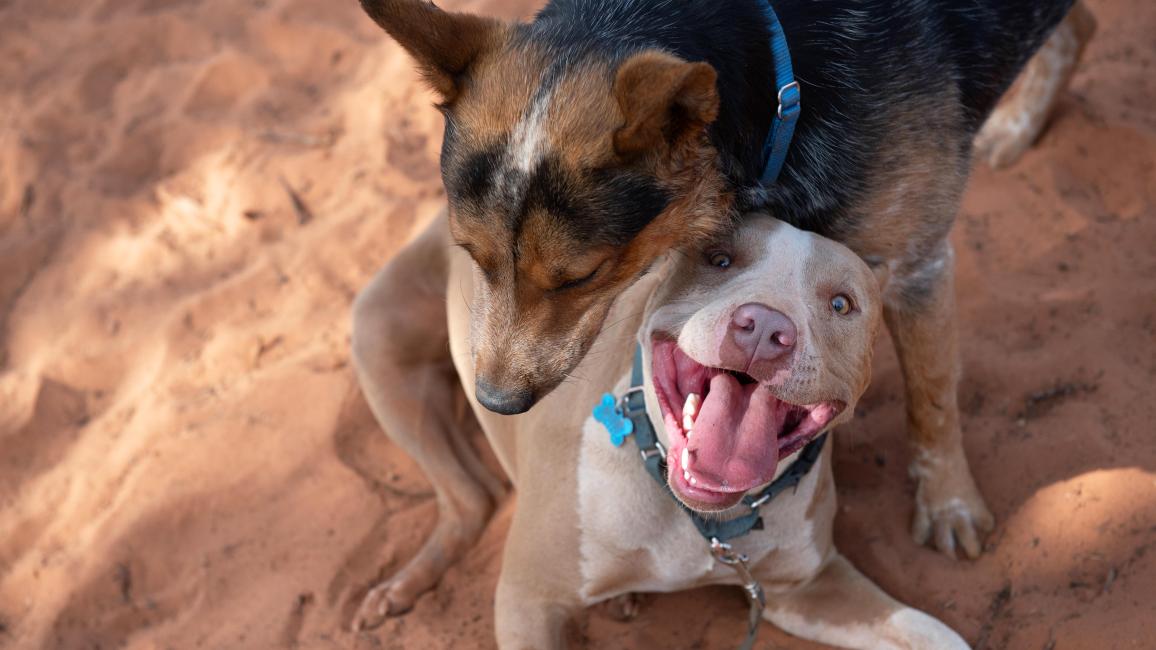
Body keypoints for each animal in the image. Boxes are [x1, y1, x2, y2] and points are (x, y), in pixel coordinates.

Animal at [349, 0, 1091, 629]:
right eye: (471, 254)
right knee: (470, 498)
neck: (781, 79)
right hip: (375, 340)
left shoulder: (915, 264)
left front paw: (949, 505)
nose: (499, 402)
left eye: (581, 276)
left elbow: (932, 396)